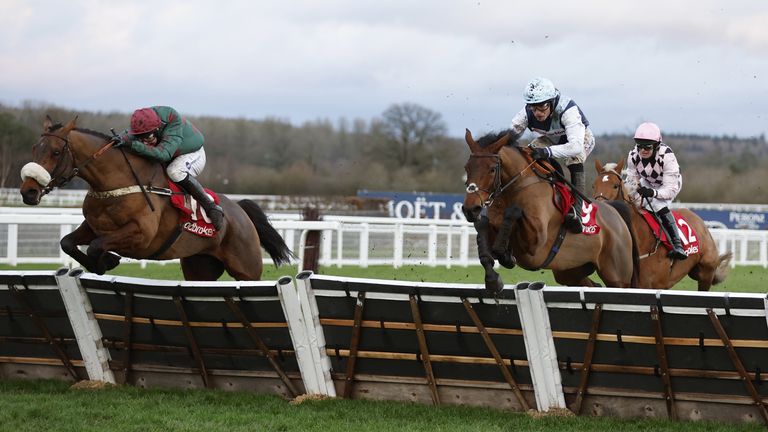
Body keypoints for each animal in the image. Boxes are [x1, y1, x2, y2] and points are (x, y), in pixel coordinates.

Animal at [20, 116, 294, 282]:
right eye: (34, 148)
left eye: (56, 152)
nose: (28, 191)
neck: (116, 184)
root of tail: (239, 210)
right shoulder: (93, 226)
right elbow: (67, 242)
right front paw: (103, 262)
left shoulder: (142, 235)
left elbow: (97, 245)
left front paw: (106, 261)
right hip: (199, 267)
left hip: (247, 269)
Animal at [462, 130, 636, 292]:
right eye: (467, 168)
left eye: (492, 169)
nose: (470, 209)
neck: (518, 186)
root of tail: (616, 213)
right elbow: (484, 250)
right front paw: (493, 279)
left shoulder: (534, 243)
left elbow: (513, 212)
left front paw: (504, 255)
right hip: (570, 271)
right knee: (592, 285)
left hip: (618, 278)